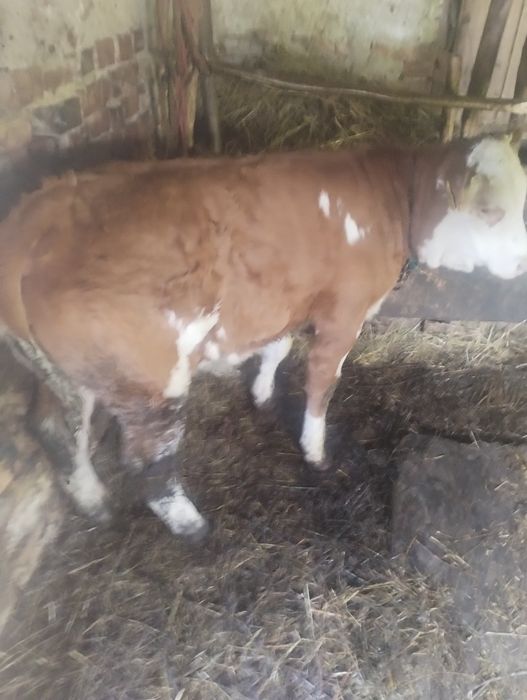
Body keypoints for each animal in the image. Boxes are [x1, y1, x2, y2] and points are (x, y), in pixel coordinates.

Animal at [0, 133, 526, 540]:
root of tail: (40, 211)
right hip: (149, 381)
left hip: (64, 373)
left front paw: (262, 393)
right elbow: (322, 382)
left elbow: (279, 345)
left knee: (56, 429)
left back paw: (93, 500)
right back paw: (191, 526)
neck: (393, 198)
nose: (522, 264)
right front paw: (314, 449)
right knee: (149, 462)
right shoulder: (344, 312)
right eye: (490, 211)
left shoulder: (288, 300)